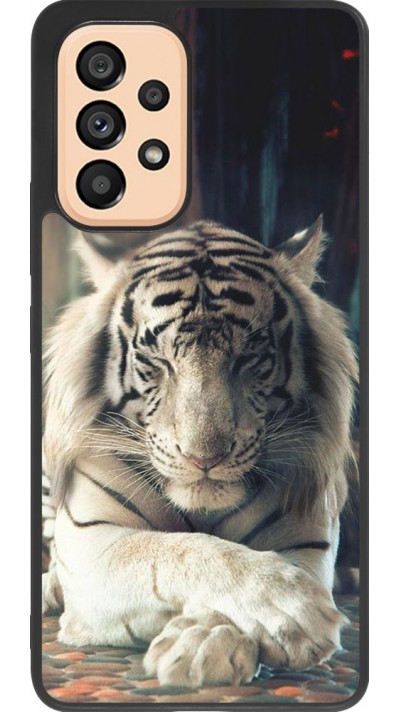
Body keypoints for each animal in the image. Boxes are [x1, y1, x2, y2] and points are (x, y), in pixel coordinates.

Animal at [42, 216, 357, 688]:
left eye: (249, 358)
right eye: (157, 361)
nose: (203, 458)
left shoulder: (306, 539)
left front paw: (205, 644)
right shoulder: (92, 541)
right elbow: (179, 550)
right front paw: (292, 609)